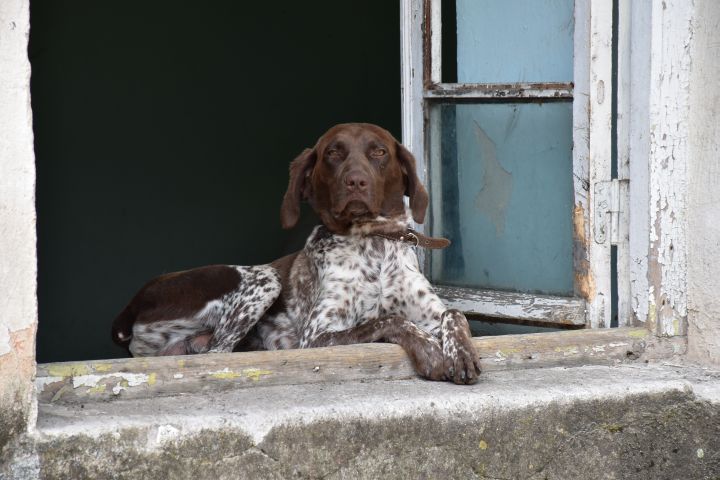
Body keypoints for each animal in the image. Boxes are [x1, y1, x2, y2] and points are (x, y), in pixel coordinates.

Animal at [112, 124, 480, 386]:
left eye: (379, 152)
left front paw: (460, 353)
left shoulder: (432, 313)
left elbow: (454, 315)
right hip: (263, 279)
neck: (373, 246)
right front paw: (431, 352)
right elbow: (390, 320)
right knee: (218, 354)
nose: (356, 181)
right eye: (333, 152)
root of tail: (130, 307)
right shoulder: (316, 337)